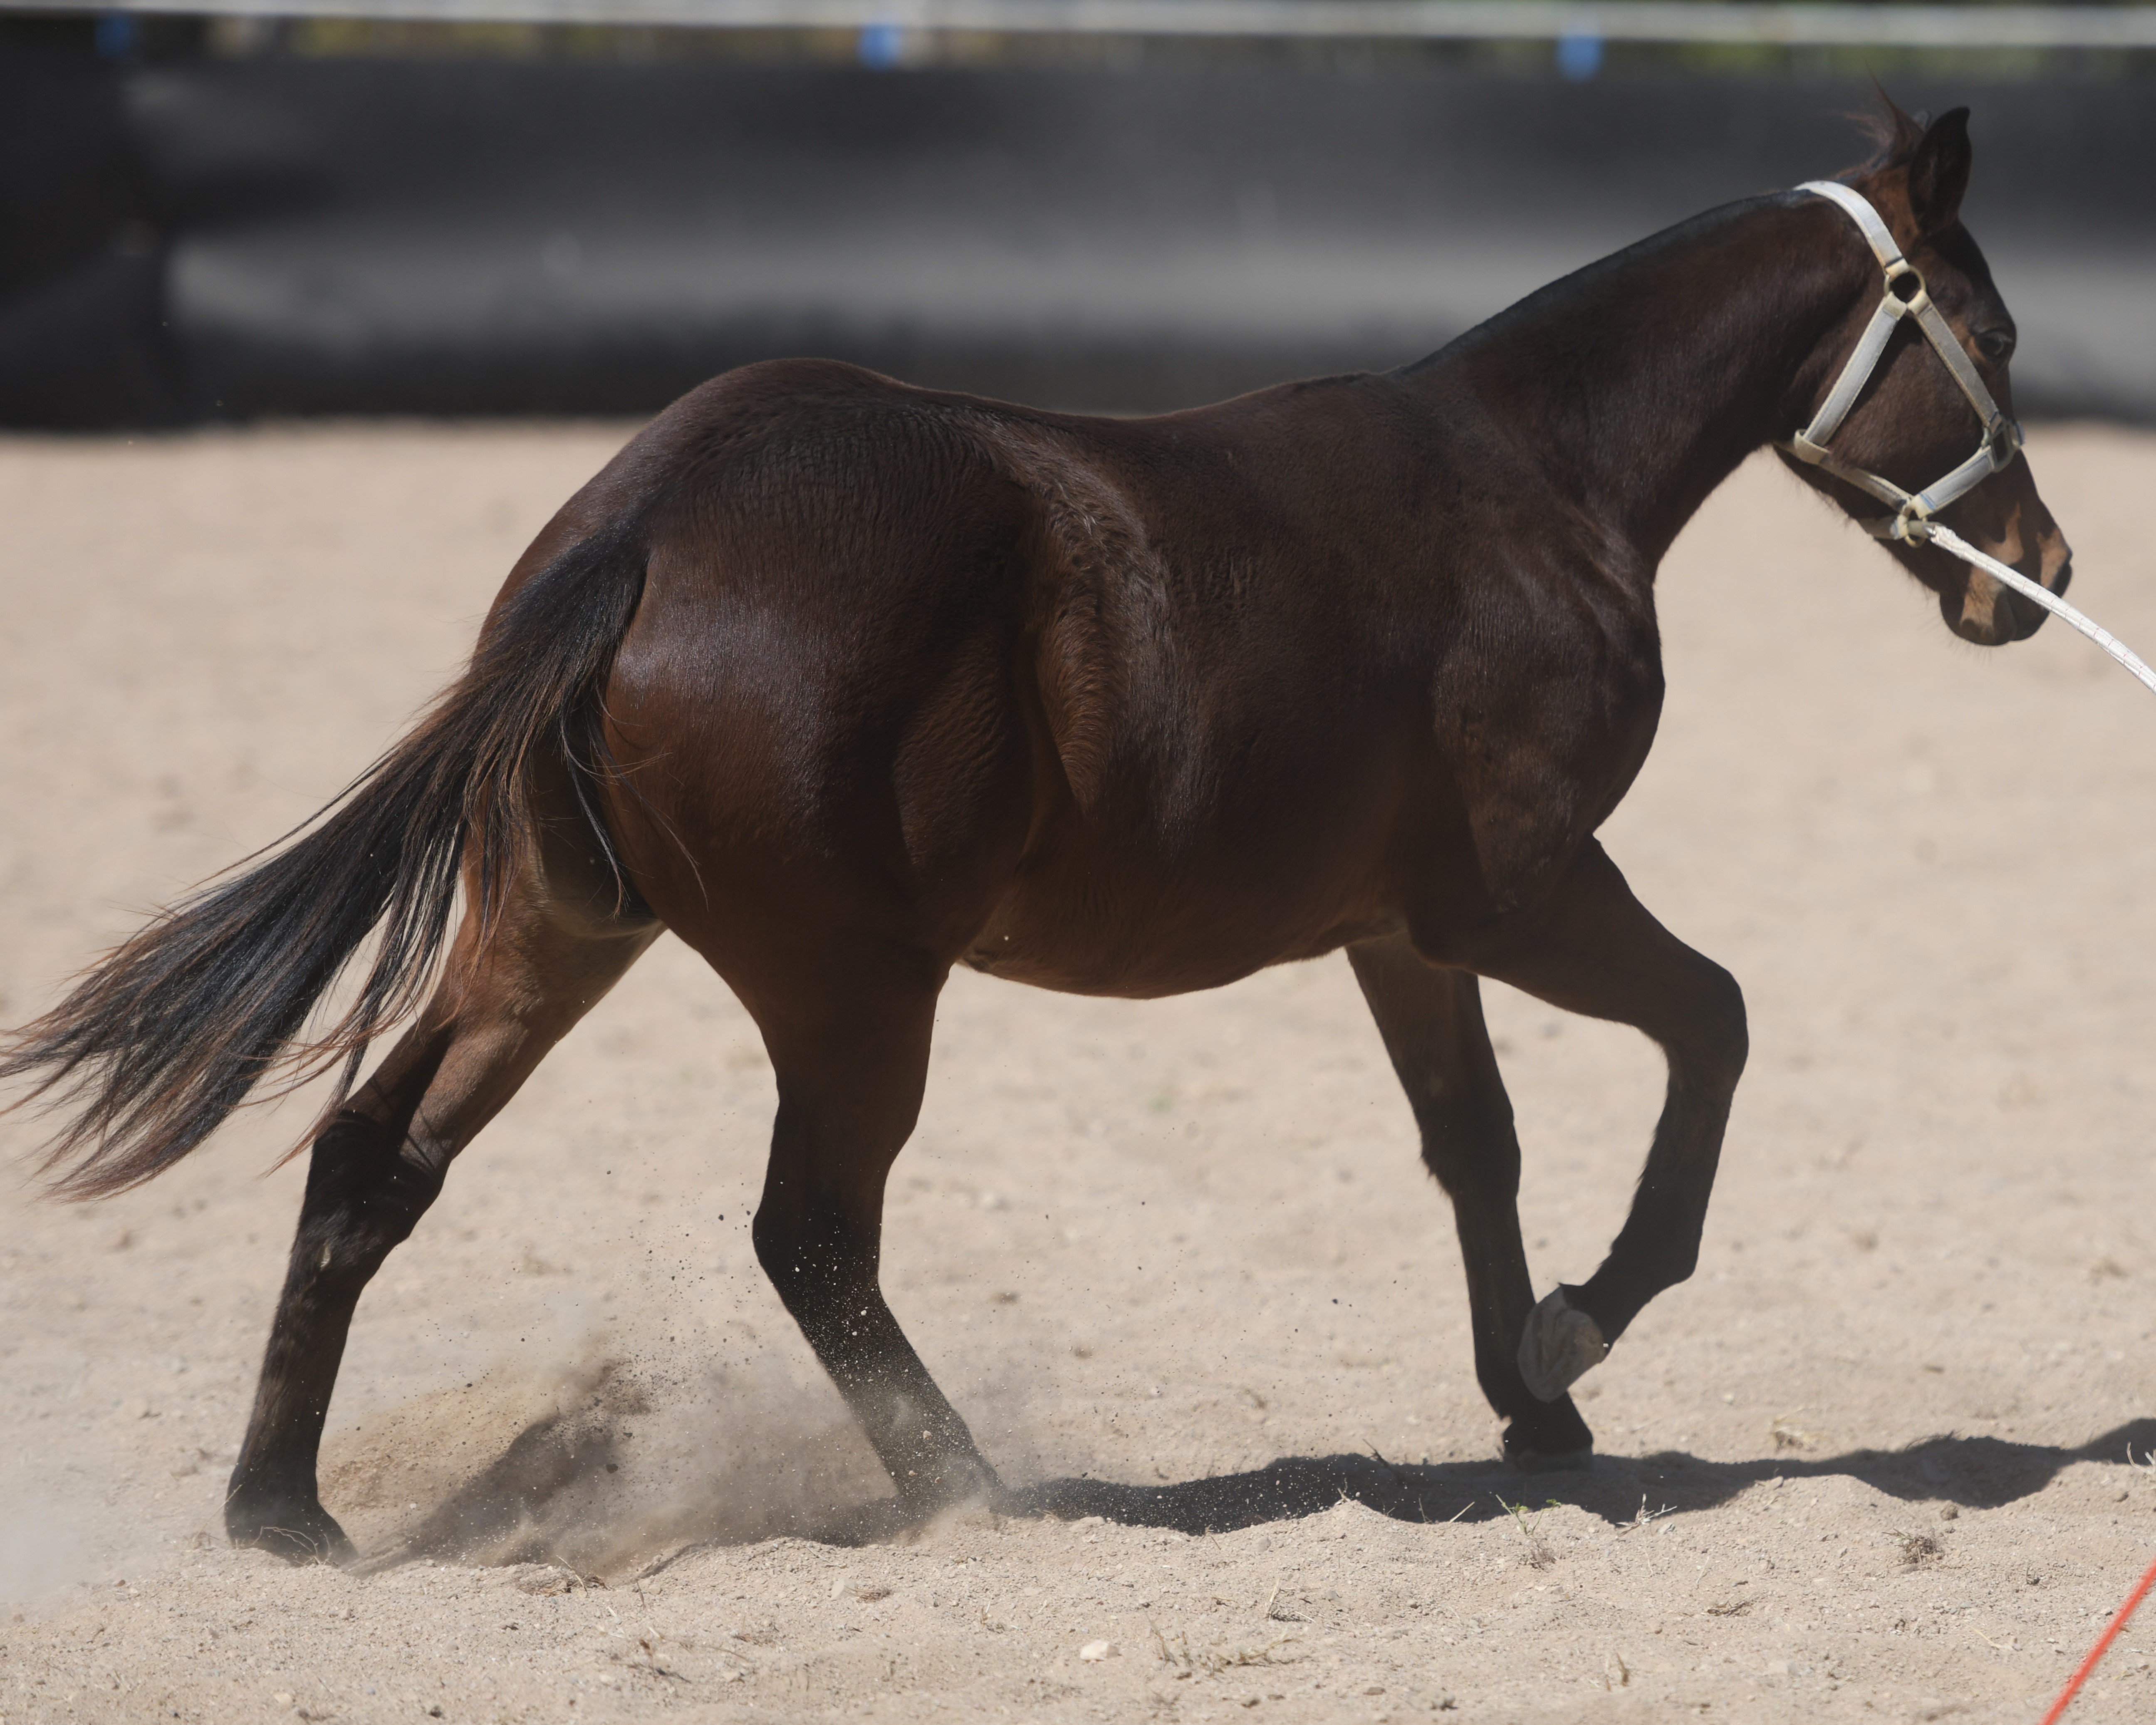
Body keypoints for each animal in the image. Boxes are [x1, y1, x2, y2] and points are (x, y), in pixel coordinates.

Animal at [2, 99, 2070, 1563]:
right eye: (1986, 325)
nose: (2032, 577)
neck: (1523, 484)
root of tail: (645, 523)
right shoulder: (1523, 890)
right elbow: (1710, 1024)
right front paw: (1578, 1330)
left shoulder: (1395, 931)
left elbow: (1467, 1145)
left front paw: (1529, 1403)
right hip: (851, 989)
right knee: (810, 1234)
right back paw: (972, 1487)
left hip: (558, 935)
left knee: (373, 1159)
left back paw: (284, 1514)